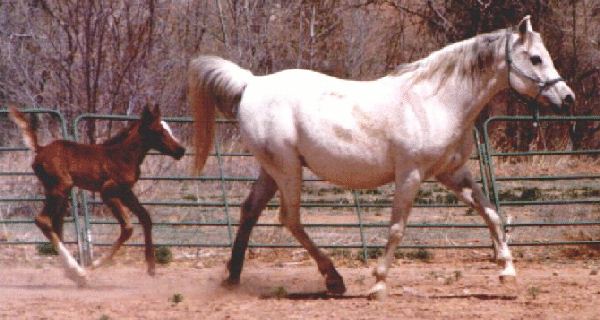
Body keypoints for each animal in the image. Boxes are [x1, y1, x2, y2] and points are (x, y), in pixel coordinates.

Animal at [8, 104, 184, 284]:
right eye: (159, 131)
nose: (181, 150)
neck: (124, 155)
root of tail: (40, 149)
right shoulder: (107, 192)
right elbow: (127, 228)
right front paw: (94, 265)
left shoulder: (126, 192)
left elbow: (146, 218)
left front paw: (151, 267)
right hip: (61, 187)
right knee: (43, 220)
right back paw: (79, 272)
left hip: (58, 192)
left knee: (56, 225)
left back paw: (73, 273)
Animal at [188, 16, 572, 298]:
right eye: (535, 58)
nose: (567, 98)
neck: (435, 101)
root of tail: (251, 83)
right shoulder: (411, 175)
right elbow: (397, 228)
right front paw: (378, 283)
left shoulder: (452, 173)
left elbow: (490, 212)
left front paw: (507, 269)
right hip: (286, 170)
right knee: (289, 219)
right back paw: (333, 279)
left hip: (272, 170)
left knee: (250, 211)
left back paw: (233, 278)